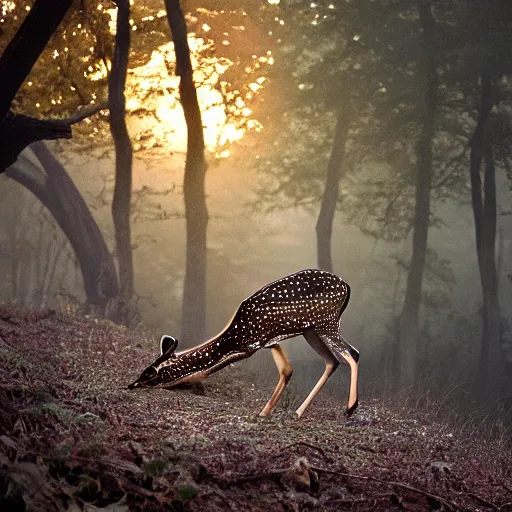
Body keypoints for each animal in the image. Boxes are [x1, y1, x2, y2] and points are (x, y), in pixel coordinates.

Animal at [128, 270, 360, 418]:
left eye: (149, 373)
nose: (132, 384)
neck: (235, 336)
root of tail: (348, 287)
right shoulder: (268, 341)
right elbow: (286, 370)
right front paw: (264, 412)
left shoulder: (254, 344)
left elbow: (210, 369)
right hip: (310, 330)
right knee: (332, 361)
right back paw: (298, 412)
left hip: (327, 322)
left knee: (352, 353)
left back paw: (349, 408)